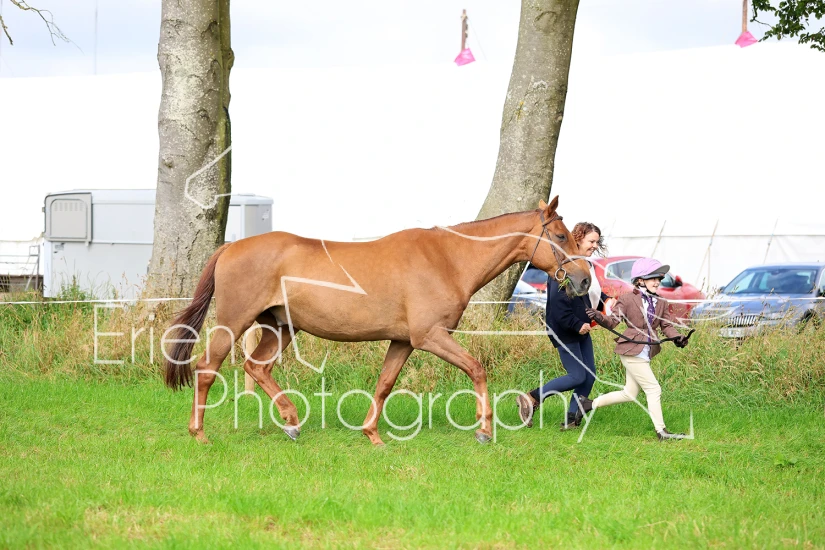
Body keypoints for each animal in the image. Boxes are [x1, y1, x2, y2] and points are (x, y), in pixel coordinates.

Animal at [163, 196, 591, 445]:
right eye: (560, 236)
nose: (585, 279)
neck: (447, 258)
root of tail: (231, 247)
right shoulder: (429, 336)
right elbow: (476, 368)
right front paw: (484, 430)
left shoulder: (402, 341)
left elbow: (385, 383)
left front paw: (372, 435)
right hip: (235, 322)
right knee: (206, 368)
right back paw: (199, 434)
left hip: (281, 327)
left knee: (256, 367)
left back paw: (291, 421)